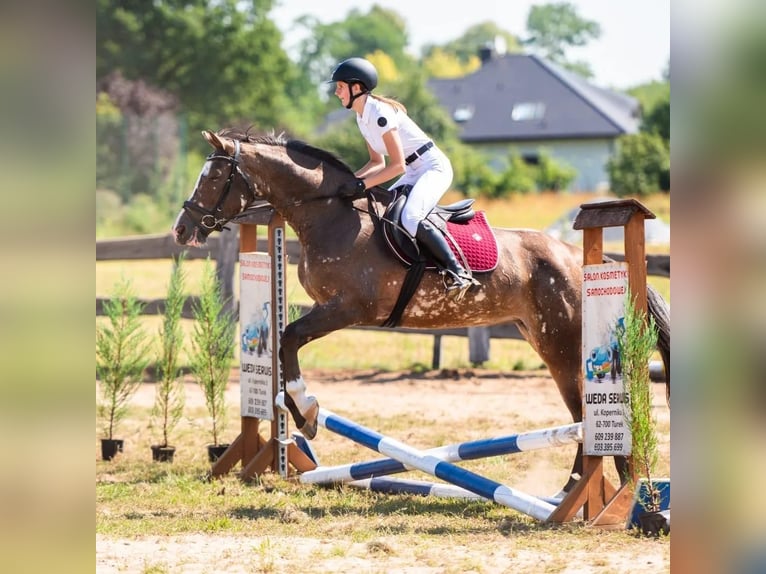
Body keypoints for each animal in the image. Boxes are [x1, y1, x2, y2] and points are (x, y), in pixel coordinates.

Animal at [173, 128, 670, 495]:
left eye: (212, 179)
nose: (181, 229)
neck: (328, 215)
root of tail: (580, 258)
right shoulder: (326, 307)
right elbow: (281, 343)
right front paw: (299, 414)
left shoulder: (347, 308)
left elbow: (290, 337)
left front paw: (308, 412)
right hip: (545, 341)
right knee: (578, 414)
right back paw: (585, 489)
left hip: (563, 346)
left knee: (582, 412)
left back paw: (605, 490)